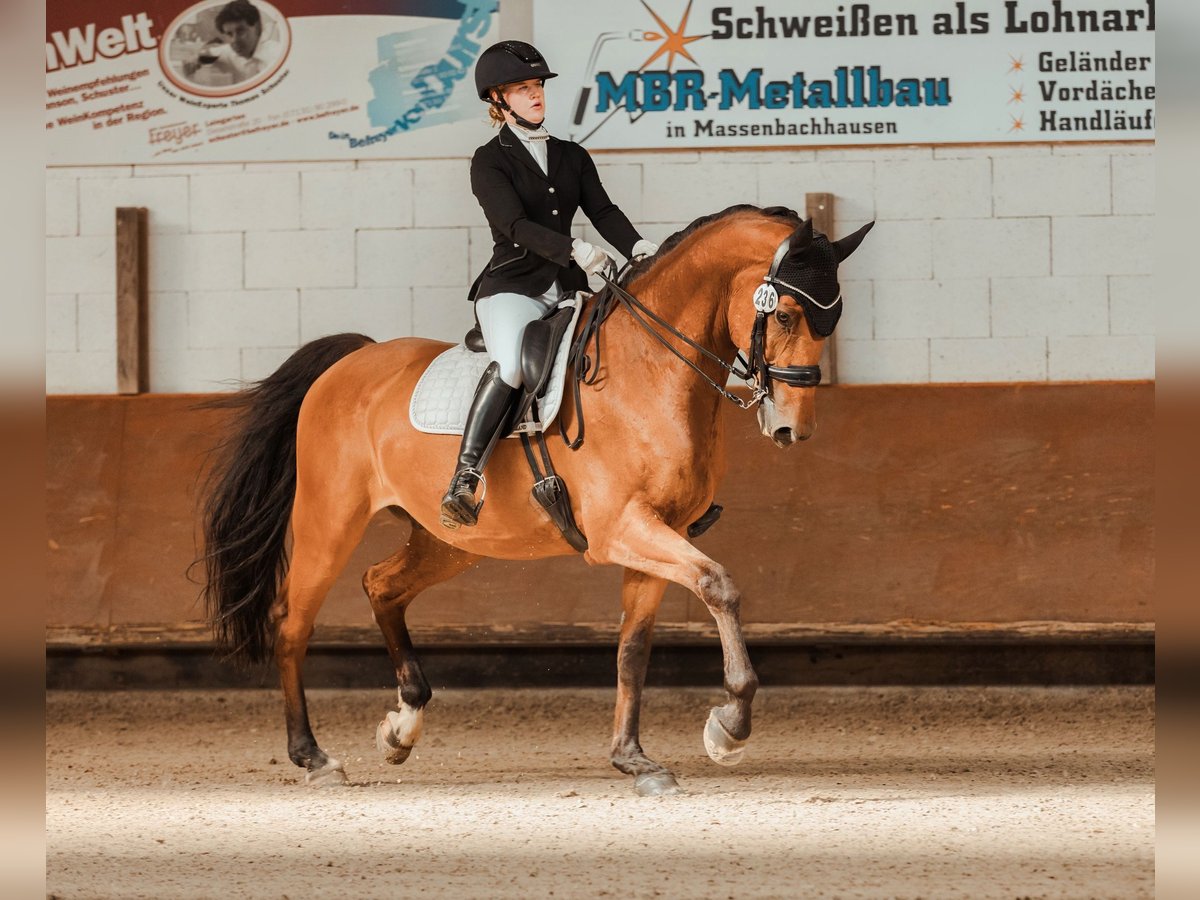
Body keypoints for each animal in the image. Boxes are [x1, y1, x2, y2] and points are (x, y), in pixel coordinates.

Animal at [196, 202, 873, 796]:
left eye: (832, 321)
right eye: (784, 315)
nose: (791, 428)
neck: (651, 370)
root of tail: (351, 361)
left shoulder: (660, 532)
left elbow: (633, 650)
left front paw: (633, 759)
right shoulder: (622, 529)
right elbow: (719, 586)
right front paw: (728, 728)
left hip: (453, 540)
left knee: (381, 585)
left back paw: (402, 726)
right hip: (328, 520)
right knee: (293, 623)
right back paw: (313, 758)